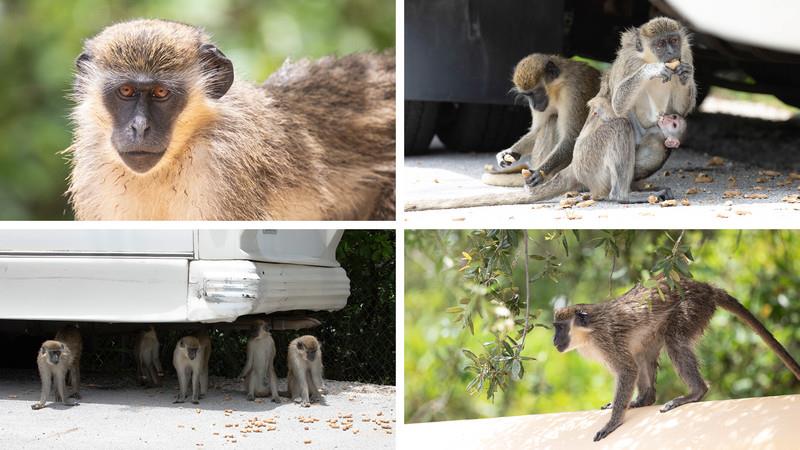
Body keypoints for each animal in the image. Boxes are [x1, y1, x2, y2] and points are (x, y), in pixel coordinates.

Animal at [482, 55, 600, 188]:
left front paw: (540, 172)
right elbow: (537, 130)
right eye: (527, 95)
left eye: (534, 93)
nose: (533, 105)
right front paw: (511, 152)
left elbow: (571, 138)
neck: (557, 88)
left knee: (552, 119)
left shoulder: (574, 91)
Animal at [552, 276, 800, 442]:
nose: (554, 341)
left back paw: (695, 392)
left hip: (692, 307)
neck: (588, 331)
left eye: (560, 327)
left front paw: (613, 422)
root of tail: (704, 287)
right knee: (644, 351)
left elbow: (628, 370)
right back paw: (644, 399)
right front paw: (619, 406)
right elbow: (633, 365)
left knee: (674, 341)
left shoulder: (606, 339)